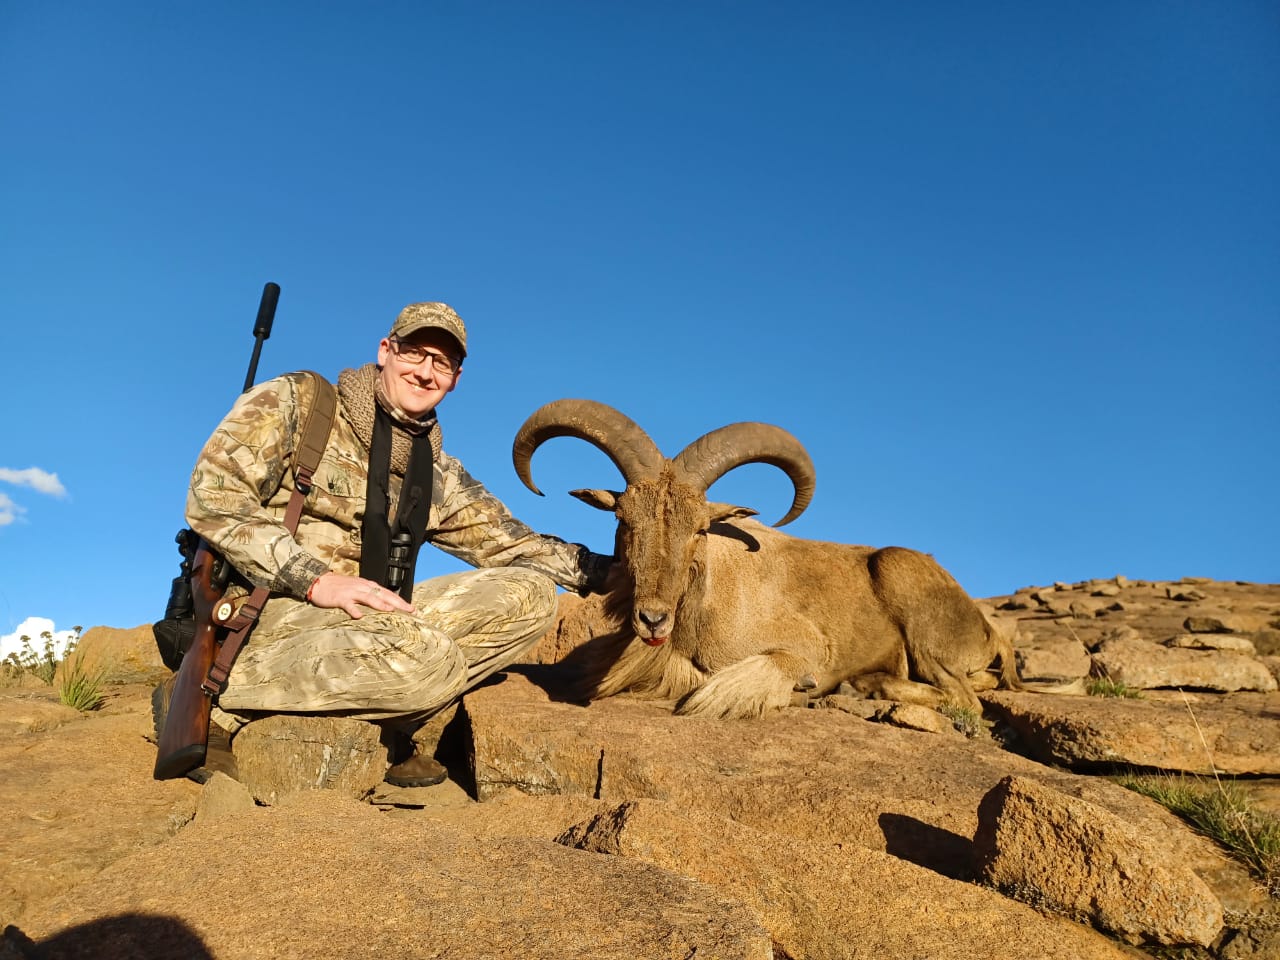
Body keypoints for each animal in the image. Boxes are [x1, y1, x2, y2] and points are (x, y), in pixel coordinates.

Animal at [512, 399, 1020, 720]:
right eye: (623, 519)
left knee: (965, 699)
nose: (653, 619)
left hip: (907, 588)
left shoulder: (807, 647)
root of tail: (989, 631)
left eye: (700, 529)